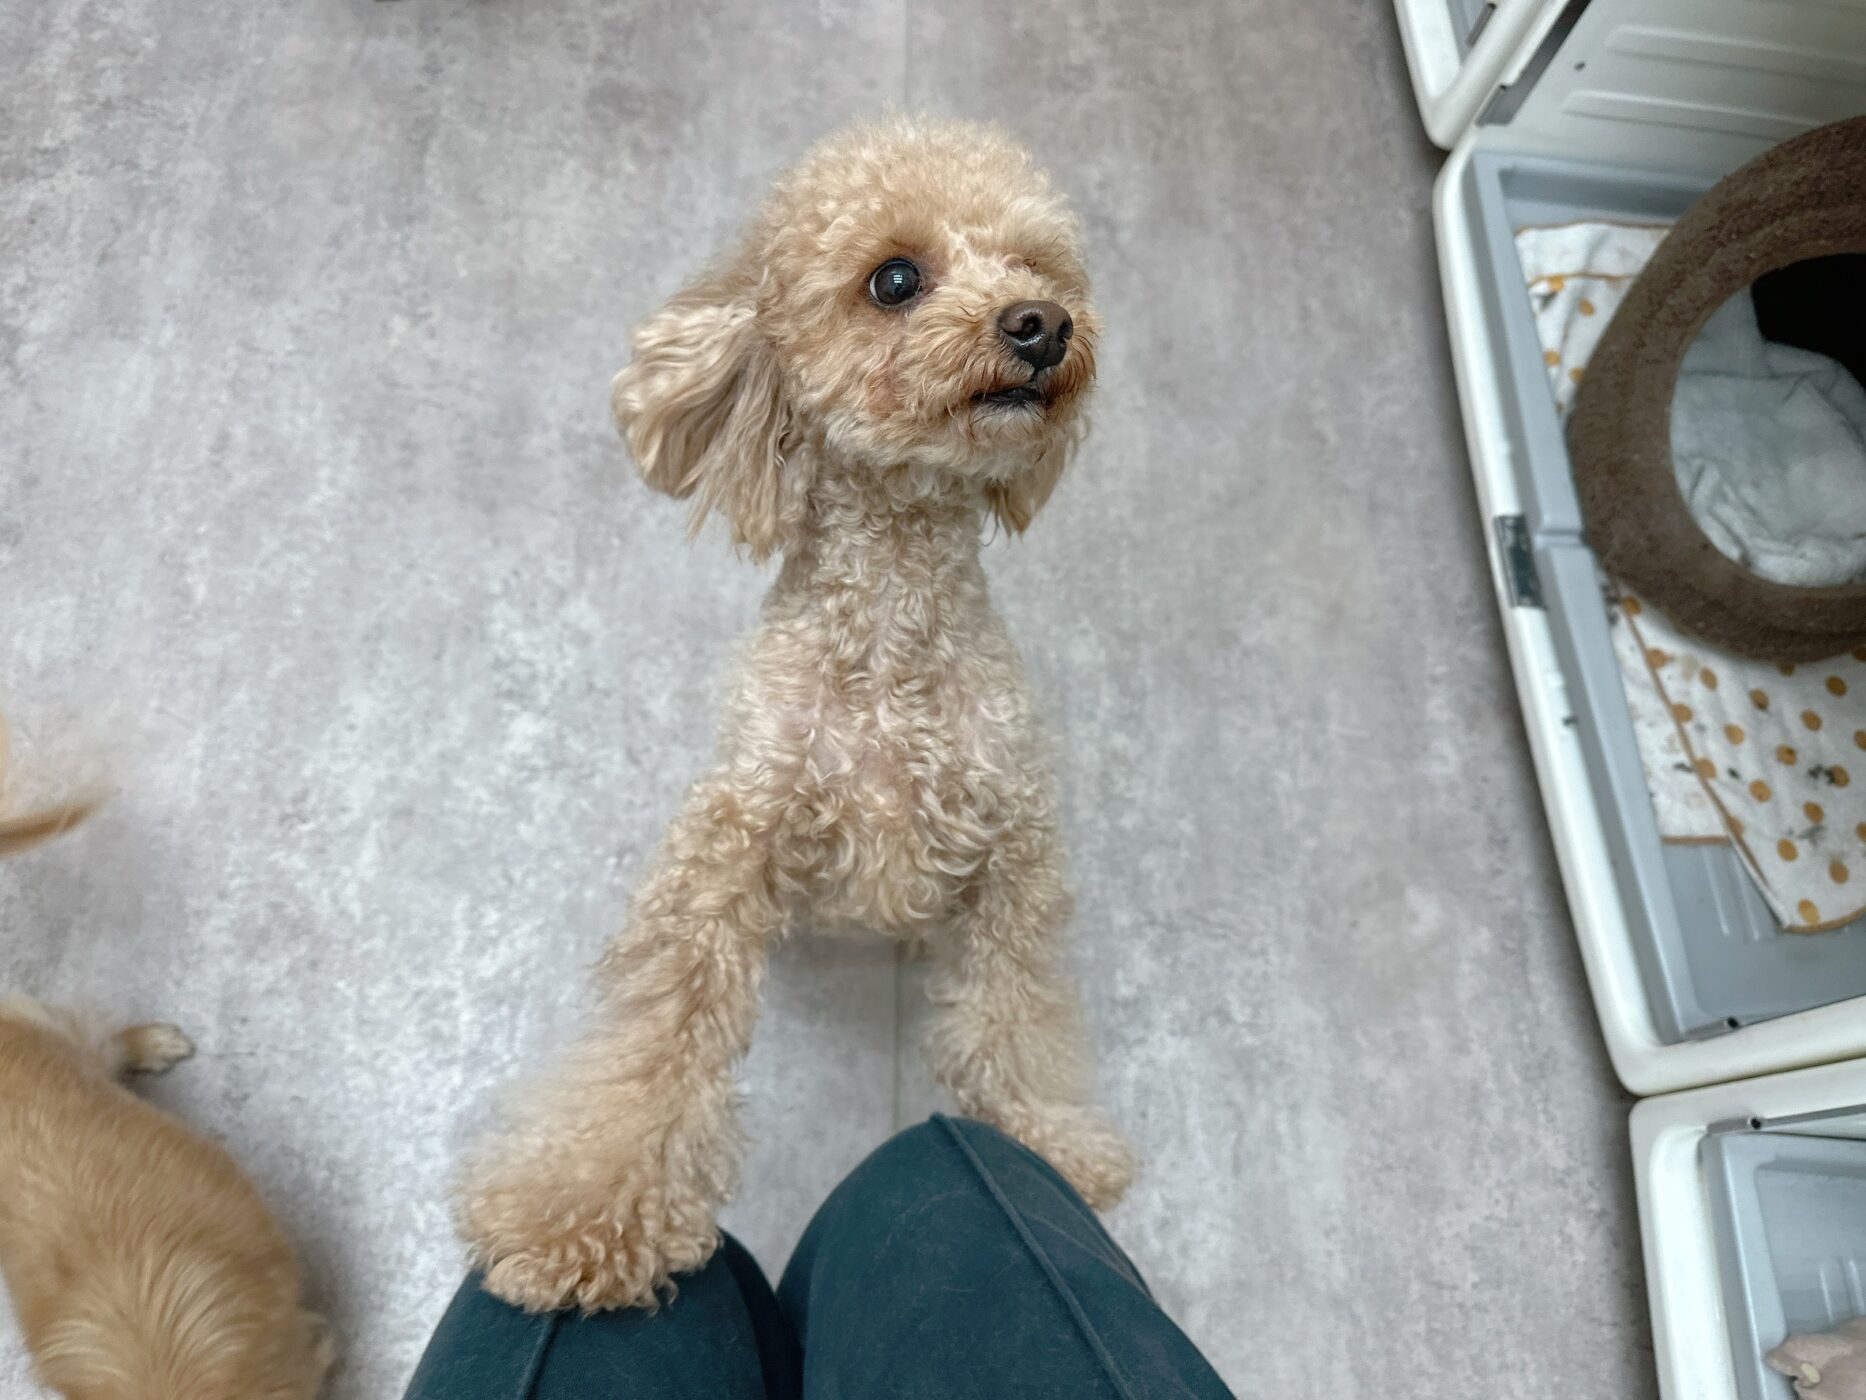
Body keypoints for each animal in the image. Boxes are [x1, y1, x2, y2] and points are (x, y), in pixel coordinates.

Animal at [457, 116, 1136, 1313]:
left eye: (1038, 267)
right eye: (895, 279)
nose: (1042, 324)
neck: (896, 633)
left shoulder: (1012, 851)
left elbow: (1015, 1014)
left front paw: (1046, 1144)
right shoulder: (732, 843)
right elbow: (661, 1030)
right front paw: (579, 1216)